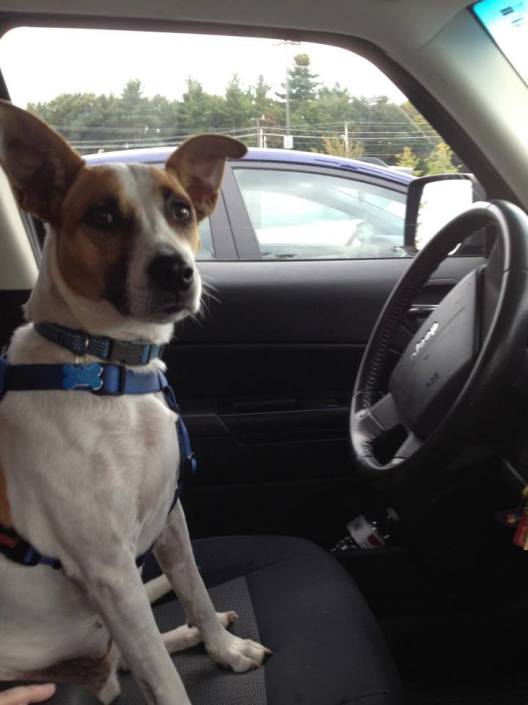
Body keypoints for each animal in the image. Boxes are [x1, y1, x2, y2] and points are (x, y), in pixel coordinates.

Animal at [0, 103, 272, 704]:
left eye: (181, 210)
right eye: (102, 217)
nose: (177, 271)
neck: (109, 368)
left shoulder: (171, 518)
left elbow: (195, 589)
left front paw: (222, 648)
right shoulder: (109, 571)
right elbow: (165, 680)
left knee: (130, 652)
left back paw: (189, 632)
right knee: (131, 658)